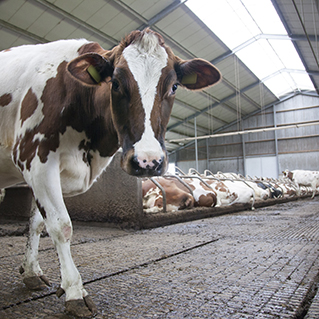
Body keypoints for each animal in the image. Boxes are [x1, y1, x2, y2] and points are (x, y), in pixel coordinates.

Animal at [0, 29, 222, 318]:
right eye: (115, 83)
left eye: (174, 86)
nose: (148, 161)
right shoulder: (35, 158)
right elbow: (61, 226)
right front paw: (75, 292)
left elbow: (37, 223)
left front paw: (31, 272)